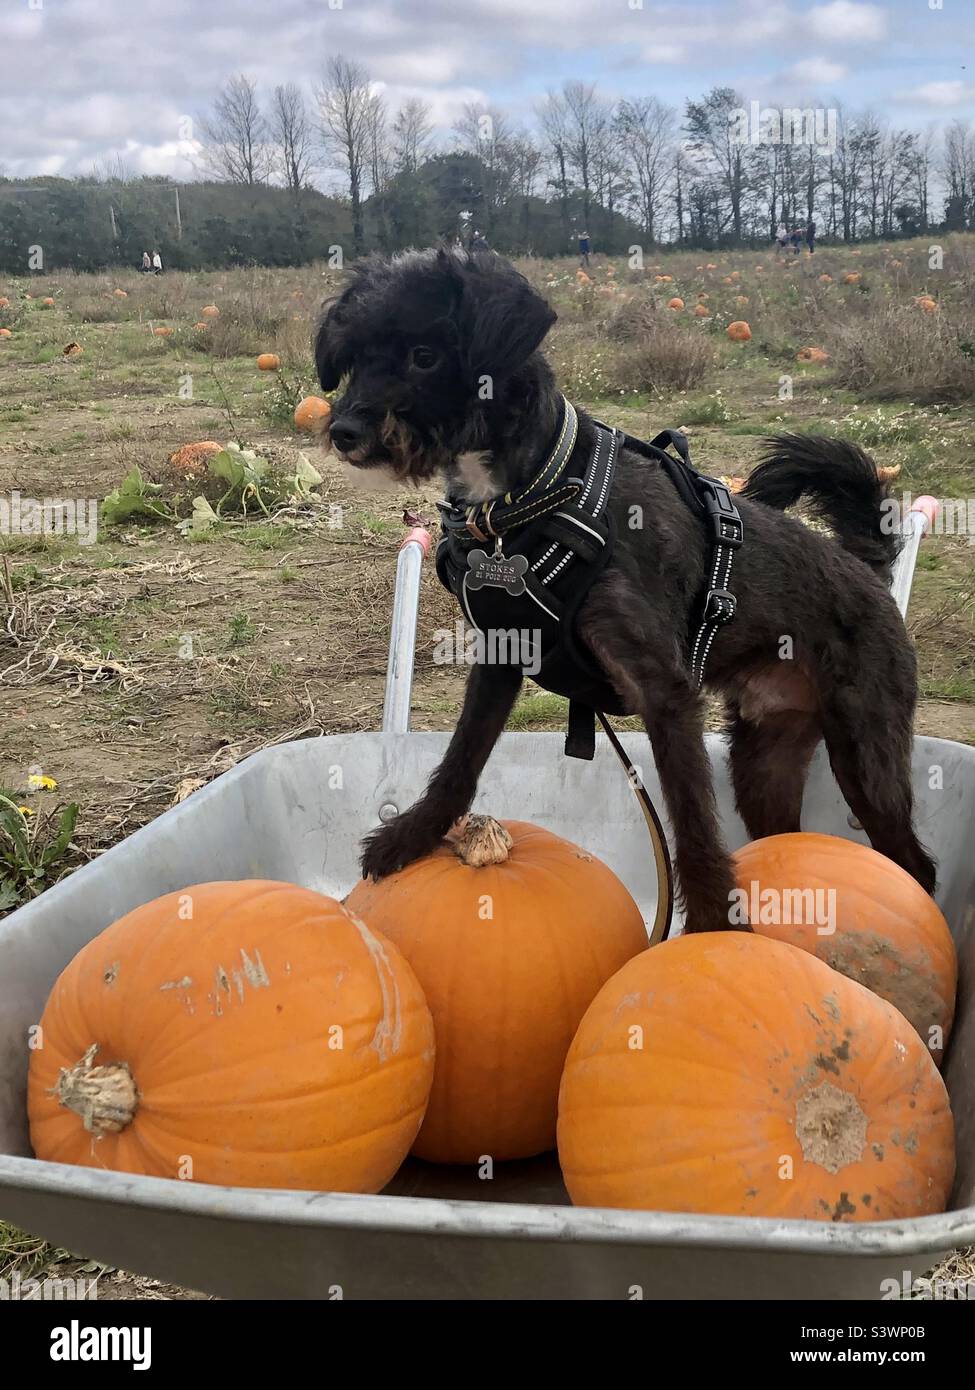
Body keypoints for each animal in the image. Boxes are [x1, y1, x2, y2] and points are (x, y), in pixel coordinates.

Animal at [314, 250, 934, 934]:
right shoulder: (502, 657)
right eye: (353, 356)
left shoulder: (664, 693)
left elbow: (692, 825)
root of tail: (865, 571)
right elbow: (460, 760)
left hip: (867, 751)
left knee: (912, 861)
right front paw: (412, 837)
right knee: (786, 834)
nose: (343, 430)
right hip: (765, 758)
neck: (530, 497)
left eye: (424, 356)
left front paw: (714, 930)